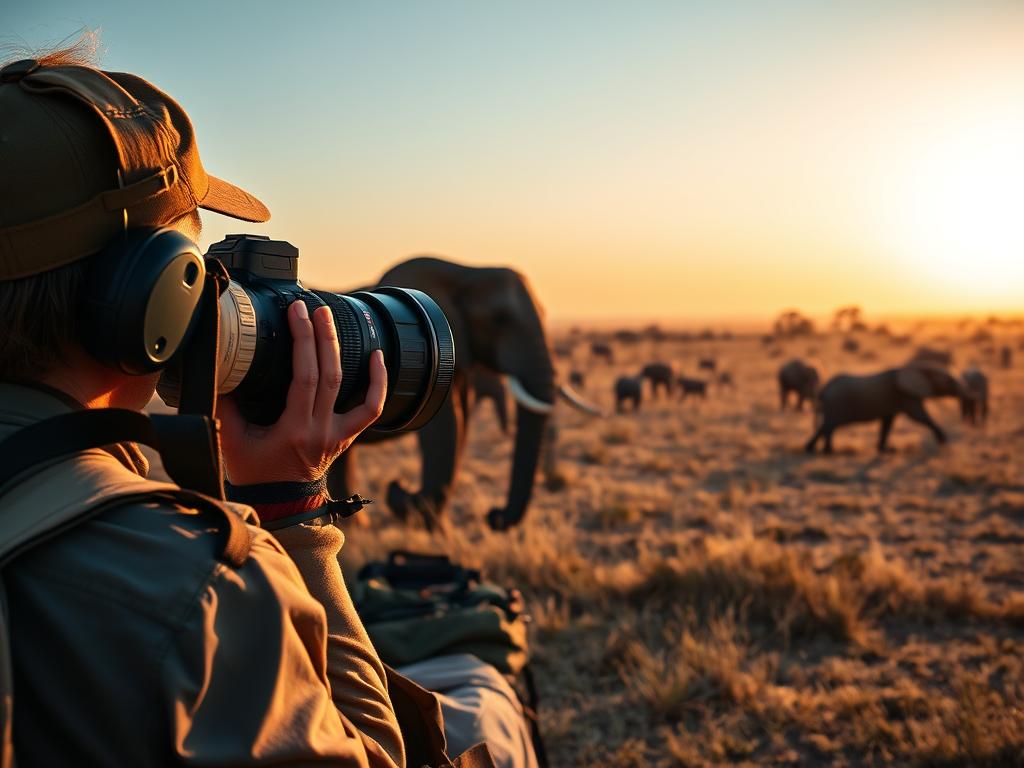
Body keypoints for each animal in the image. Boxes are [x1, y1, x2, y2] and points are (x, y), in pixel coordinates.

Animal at [326, 256, 600, 531]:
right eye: (499, 319)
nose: (494, 515)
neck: (465, 271)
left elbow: (461, 426)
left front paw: (435, 528)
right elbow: (446, 429)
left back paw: (354, 525)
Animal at [805, 363, 967, 454]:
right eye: (949, 381)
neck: (919, 369)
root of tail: (824, 389)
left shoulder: (894, 400)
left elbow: (888, 423)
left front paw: (886, 450)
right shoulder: (905, 395)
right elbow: (919, 416)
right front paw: (943, 440)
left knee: (826, 427)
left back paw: (813, 449)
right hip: (835, 405)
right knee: (828, 426)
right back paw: (827, 452)